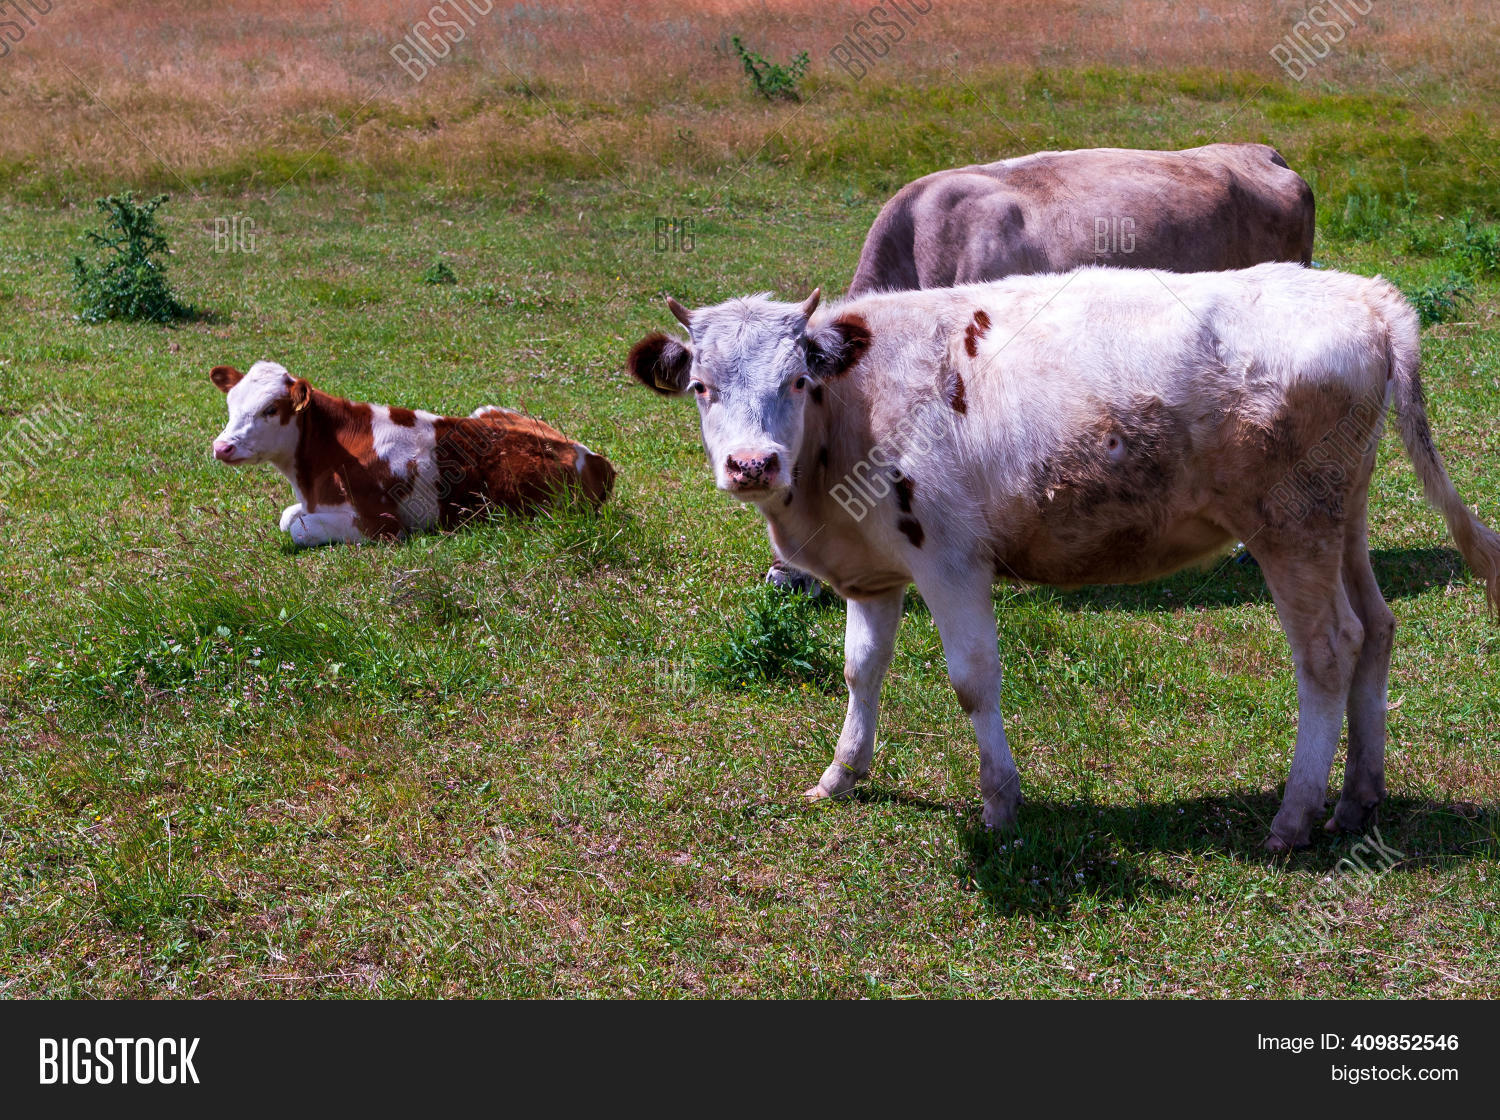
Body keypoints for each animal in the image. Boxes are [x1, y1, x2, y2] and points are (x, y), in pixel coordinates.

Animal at [211, 360, 614, 547]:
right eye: (231, 404)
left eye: (270, 409)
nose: (222, 446)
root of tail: (593, 458)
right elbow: (288, 517)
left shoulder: (383, 525)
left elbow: (296, 528)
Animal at [626, 262, 1500, 851]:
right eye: (701, 386)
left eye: (796, 380)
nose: (751, 465)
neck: (855, 406)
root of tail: (1365, 295)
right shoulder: (874, 572)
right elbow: (861, 669)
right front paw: (844, 773)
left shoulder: (950, 561)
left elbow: (972, 682)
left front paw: (1000, 803)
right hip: (1341, 518)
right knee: (1377, 629)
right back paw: (1357, 799)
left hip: (1290, 528)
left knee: (1328, 650)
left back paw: (1293, 817)